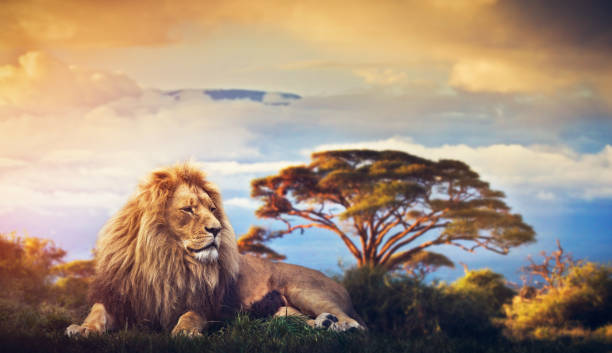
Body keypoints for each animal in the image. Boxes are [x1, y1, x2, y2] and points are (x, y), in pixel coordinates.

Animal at [67, 162, 364, 336]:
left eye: (212, 209)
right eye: (188, 209)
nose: (217, 229)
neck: (165, 258)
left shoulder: (207, 304)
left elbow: (190, 315)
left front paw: (185, 332)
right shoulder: (118, 297)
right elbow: (97, 313)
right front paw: (81, 329)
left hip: (304, 289)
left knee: (359, 324)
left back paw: (341, 326)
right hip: (282, 310)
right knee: (292, 321)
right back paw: (324, 324)